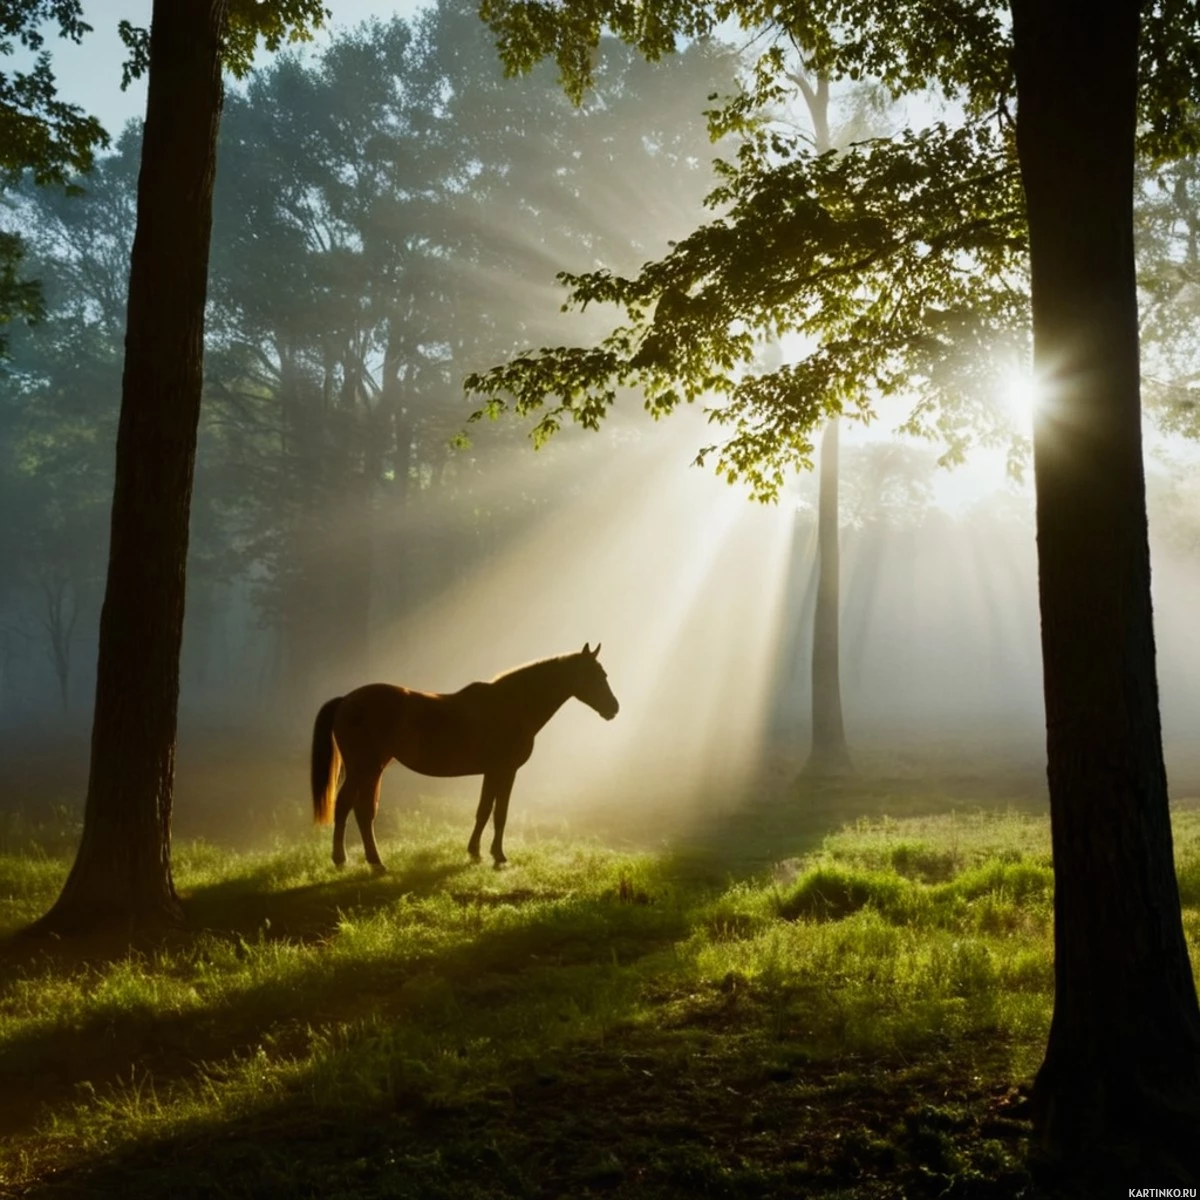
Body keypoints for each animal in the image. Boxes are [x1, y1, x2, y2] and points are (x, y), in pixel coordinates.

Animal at [309, 638, 619, 873]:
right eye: (596, 676)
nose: (614, 709)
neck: (511, 705)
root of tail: (346, 700)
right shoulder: (505, 771)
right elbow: (499, 813)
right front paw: (498, 856)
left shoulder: (491, 772)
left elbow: (484, 811)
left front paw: (475, 852)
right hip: (367, 768)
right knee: (358, 810)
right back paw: (370, 862)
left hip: (367, 769)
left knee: (349, 808)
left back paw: (349, 860)